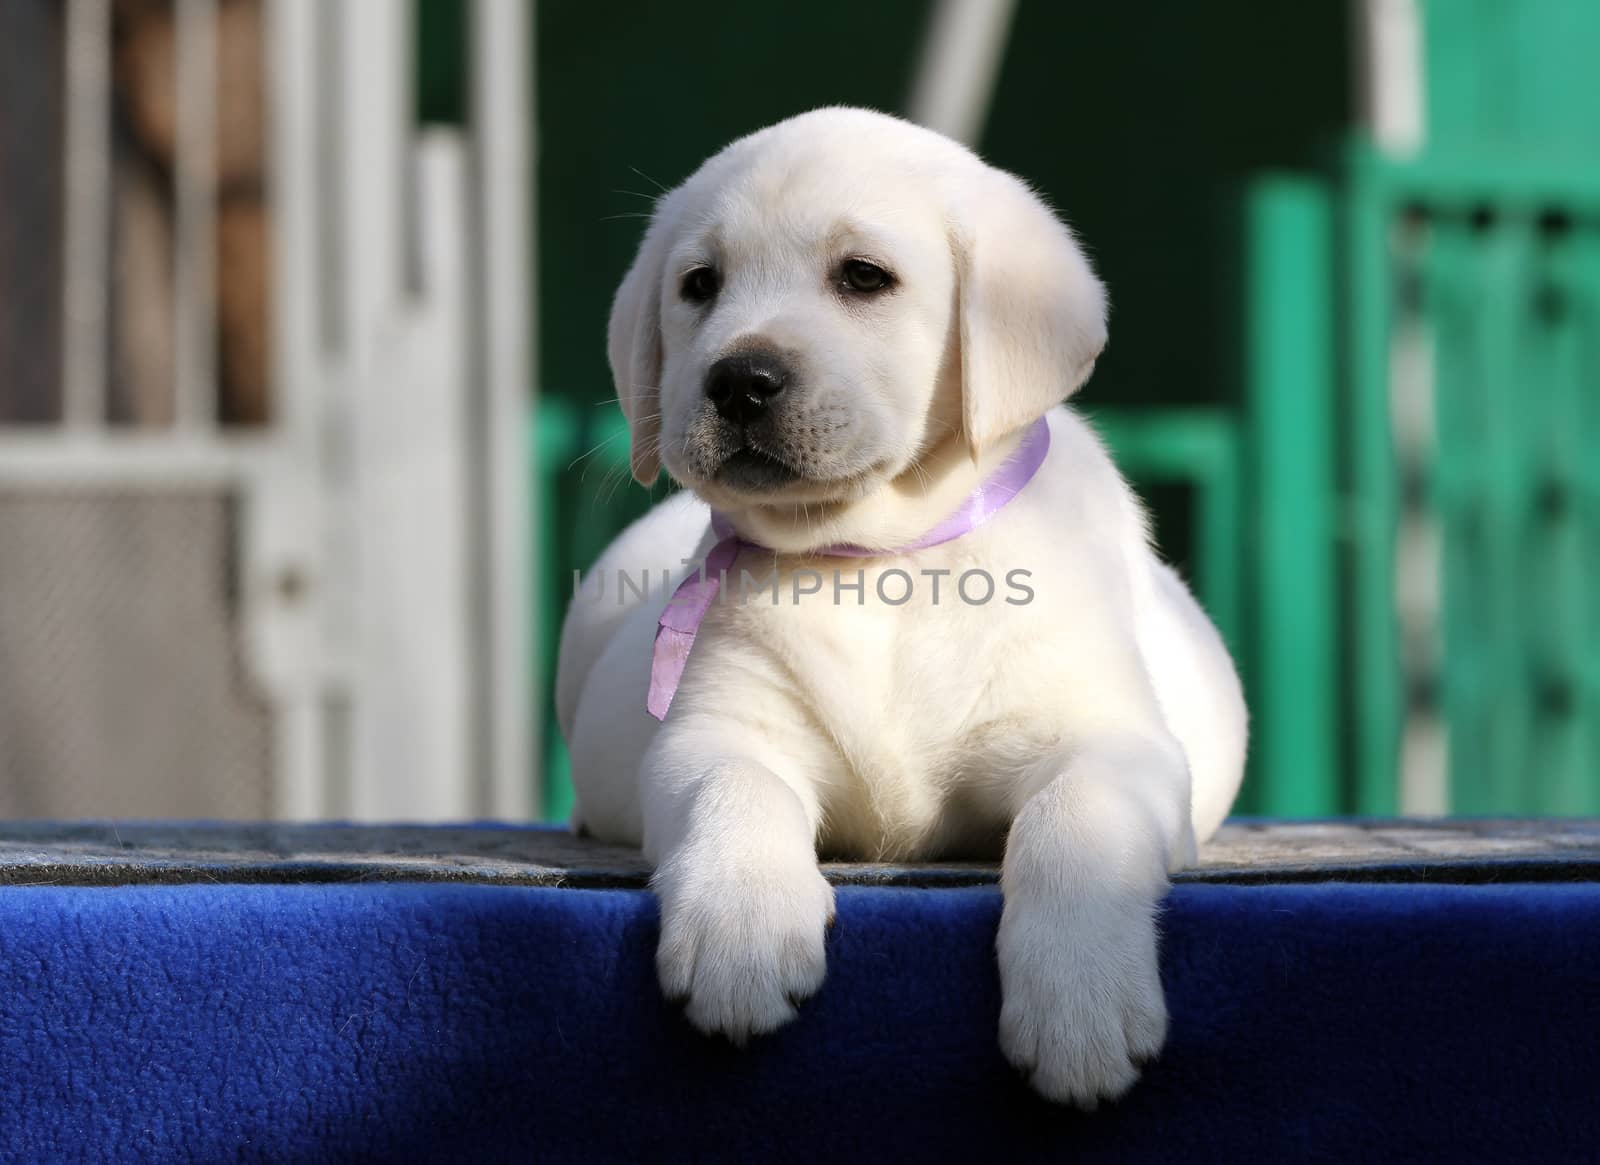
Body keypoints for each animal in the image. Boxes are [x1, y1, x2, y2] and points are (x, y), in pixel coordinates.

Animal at [563, 104, 1248, 1107]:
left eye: (863, 276)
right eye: (698, 285)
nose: (738, 380)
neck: (871, 558)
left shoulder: (1111, 740)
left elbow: (1074, 821)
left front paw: (1079, 1003)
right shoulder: (717, 729)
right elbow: (735, 788)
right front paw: (743, 931)